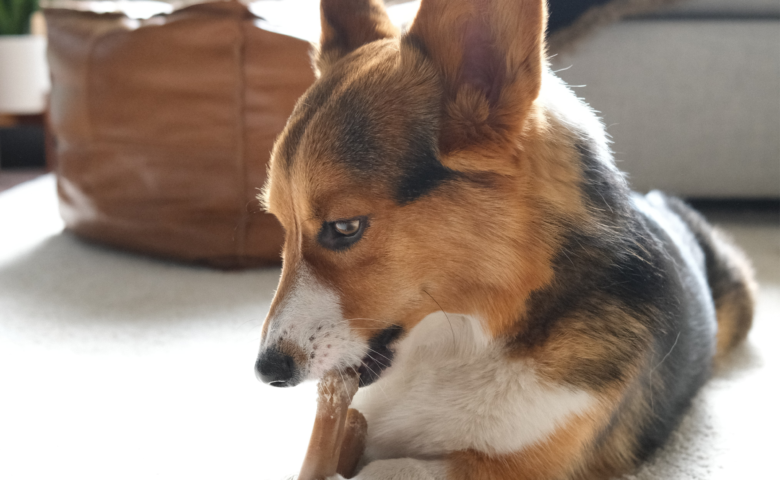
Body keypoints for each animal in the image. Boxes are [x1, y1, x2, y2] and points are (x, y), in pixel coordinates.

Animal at [256, 0, 756, 478]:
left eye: (345, 227)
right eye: (281, 223)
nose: (266, 372)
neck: (464, 338)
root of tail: (660, 200)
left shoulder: (513, 467)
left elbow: (385, 470)